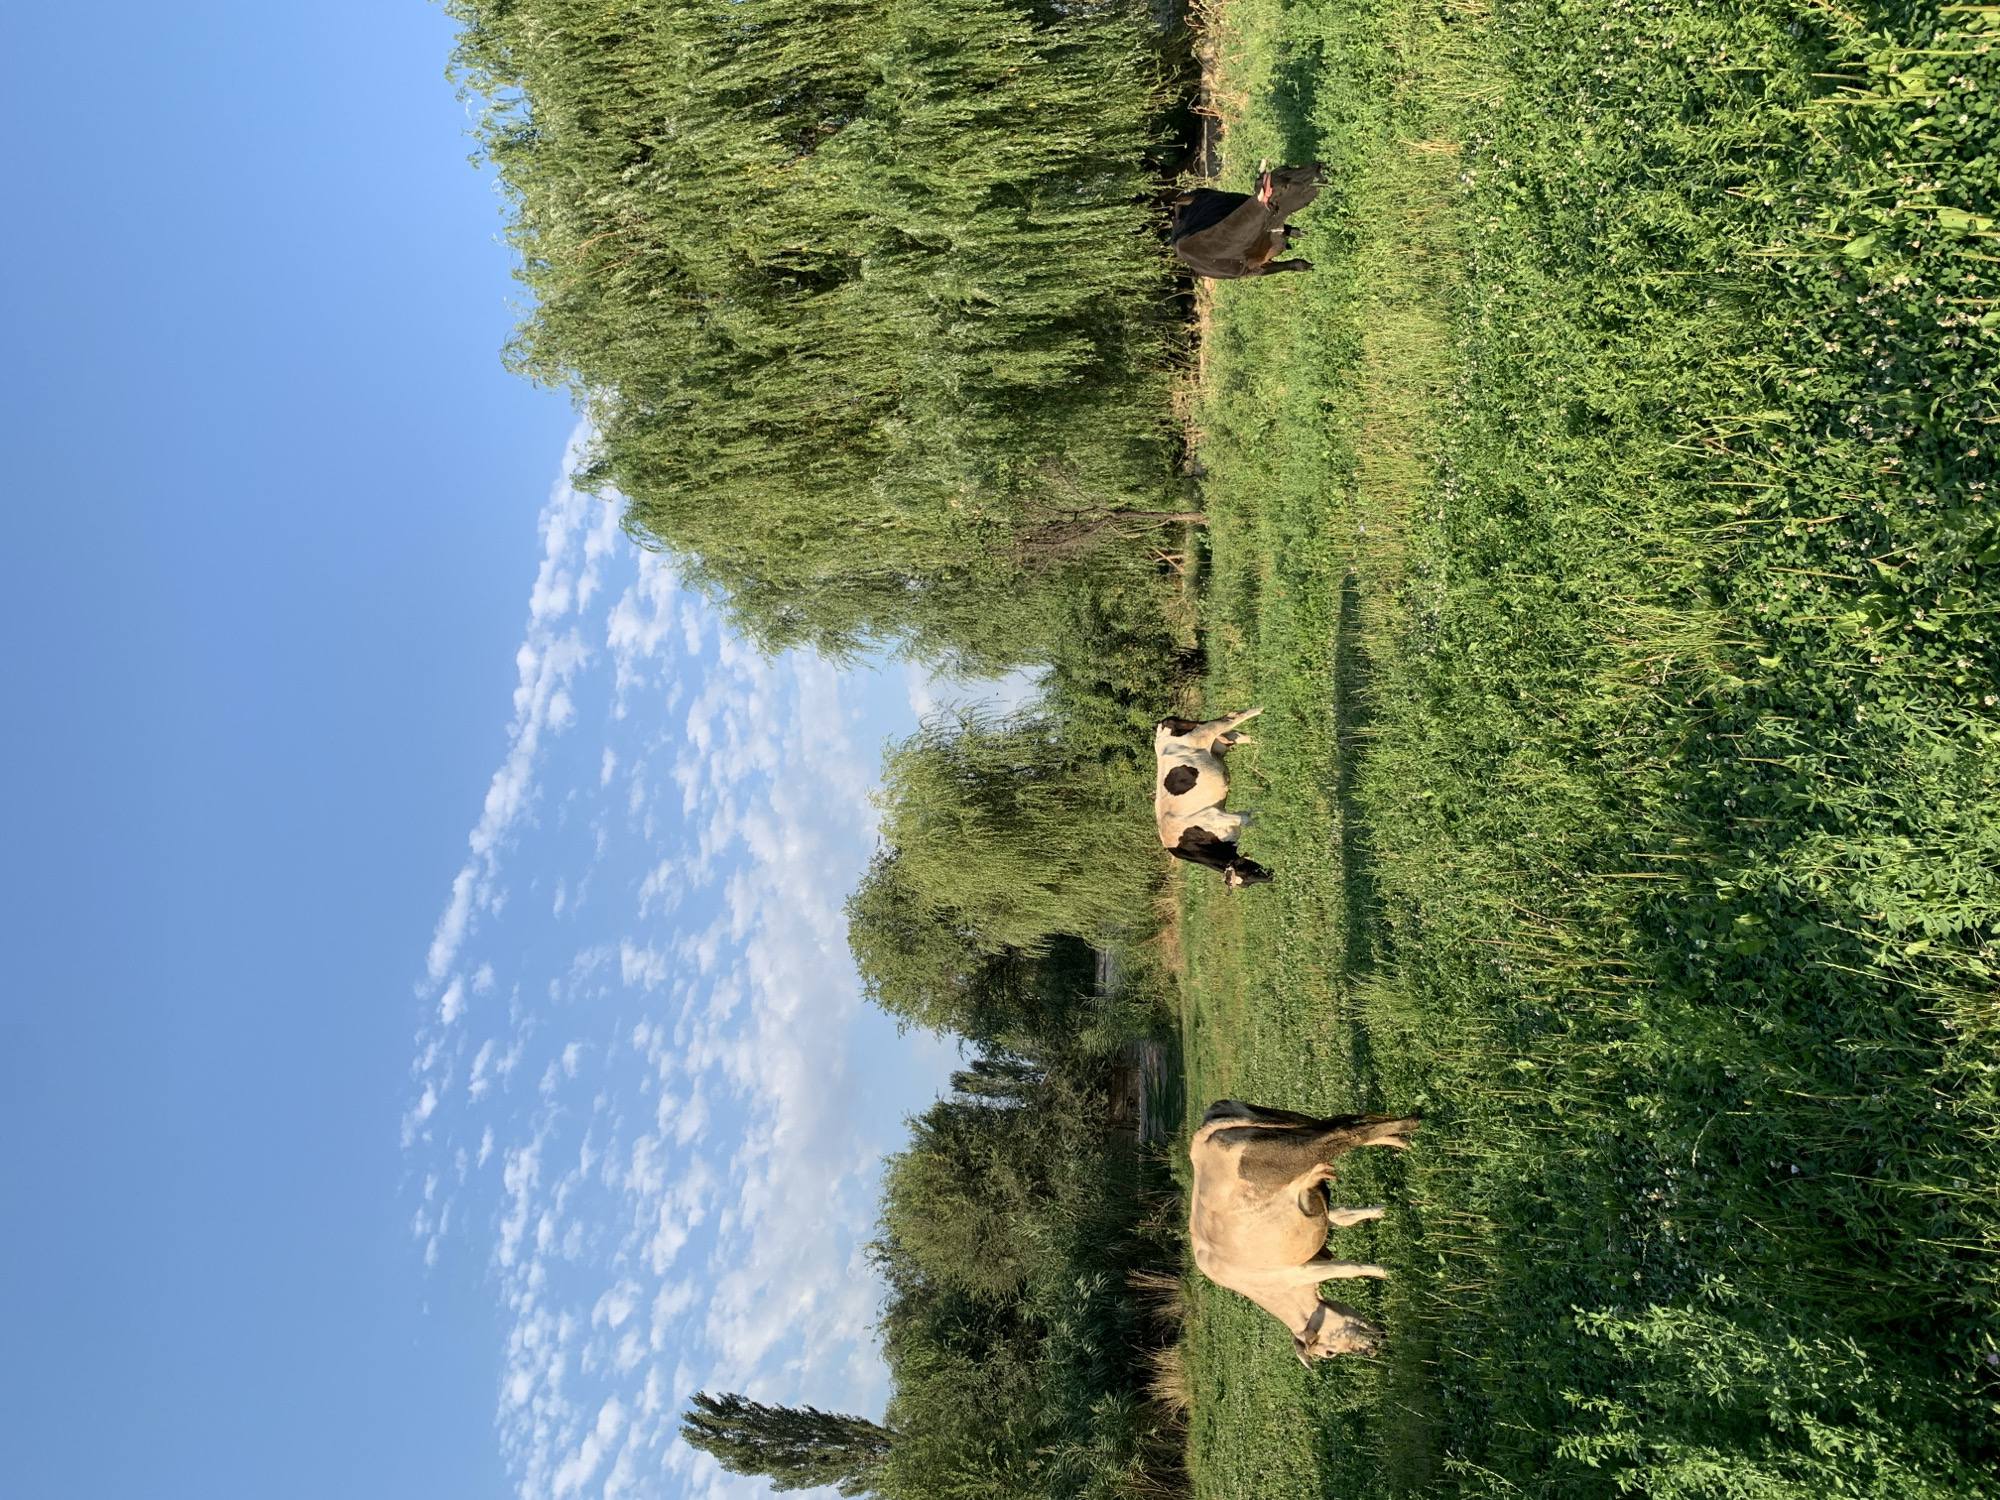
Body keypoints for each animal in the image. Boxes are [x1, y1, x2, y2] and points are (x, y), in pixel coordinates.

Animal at [1155, 709, 1271, 886]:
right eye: (1246, 877)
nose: (1271, 876)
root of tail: (1163, 722)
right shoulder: (1222, 816)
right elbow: (1247, 815)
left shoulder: (1213, 815)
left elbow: (1245, 819)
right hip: (1216, 743)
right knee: (1235, 734)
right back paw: (1264, 742)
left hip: (1204, 732)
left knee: (1232, 717)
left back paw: (1261, 709)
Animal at [1170, 163, 1327, 280]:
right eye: (1285, 186)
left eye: (1286, 167)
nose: (1318, 166)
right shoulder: (1254, 270)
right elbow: (1296, 264)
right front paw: (1308, 265)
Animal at [1189, 1101, 1419, 1363]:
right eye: (1329, 1353)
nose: (1371, 1349)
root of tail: (1201, 1137)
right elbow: (1345, 1217)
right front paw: (1383, 1211)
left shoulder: (1298, 1272)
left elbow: (1350, 1268)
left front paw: (1389, 1271)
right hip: (1291, 1125)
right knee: (1341, 1122)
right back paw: (1401, 1140)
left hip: (1291, 1154)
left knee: (1345, 1132)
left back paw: (1411, 1122)